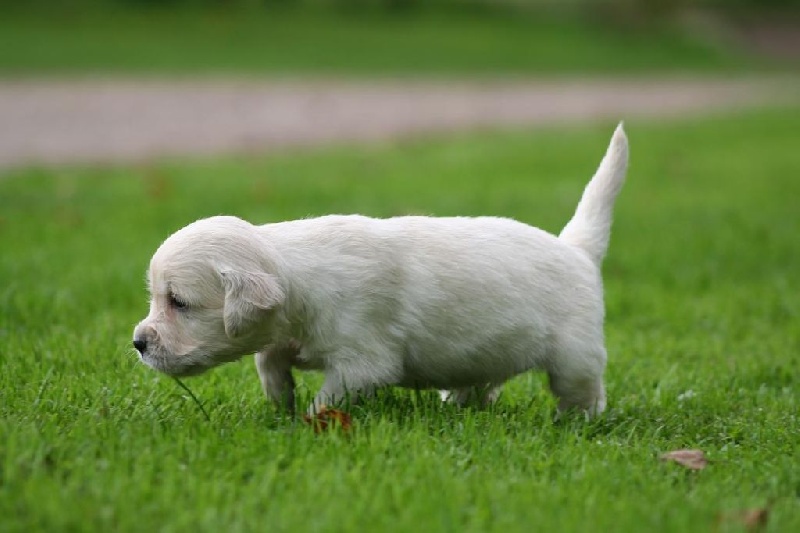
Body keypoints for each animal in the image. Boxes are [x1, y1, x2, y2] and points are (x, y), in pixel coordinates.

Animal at [134, 124, 628, 416]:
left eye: (178, 302)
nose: (138, 343)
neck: (296, 274)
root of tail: (576, 249)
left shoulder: (362, 362)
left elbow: (330, 395)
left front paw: (308, 422)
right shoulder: (285, 335)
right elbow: (267, 359)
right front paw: (280, 400)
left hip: (576, 353)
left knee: (584, 390)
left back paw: (576, 421)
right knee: (480, 384)